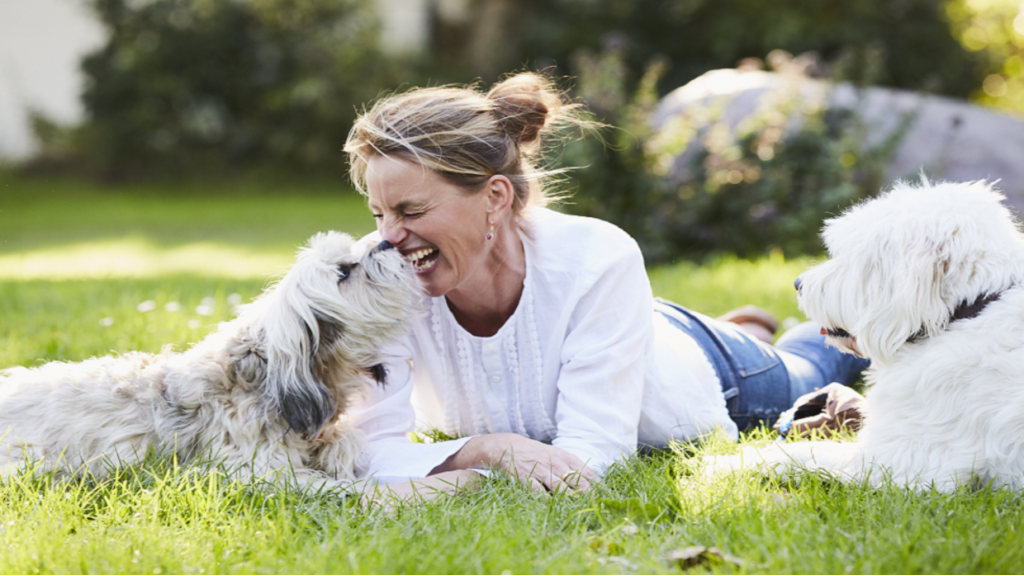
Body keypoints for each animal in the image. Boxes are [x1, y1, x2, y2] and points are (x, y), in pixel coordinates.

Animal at [708, 178, 1024, 487]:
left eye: (849, 257)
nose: (798, 284)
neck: (969, 311)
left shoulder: (902, 466)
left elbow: (803, 452)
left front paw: (725, 462)